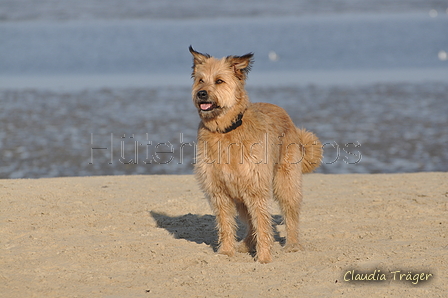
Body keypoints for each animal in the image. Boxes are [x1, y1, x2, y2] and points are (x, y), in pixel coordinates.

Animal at [189, 46, 322, 264]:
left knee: (290, 214)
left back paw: (293, 245)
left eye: (219, 81)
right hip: (241, 198)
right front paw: (226, 252)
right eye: (201, 80)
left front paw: (264, 258)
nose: (201, 94)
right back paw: (244, 245)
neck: (226, 130)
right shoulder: (219, 192)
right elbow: (226, 224)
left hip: (286, 183)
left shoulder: (256, 189)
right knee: (250, 223)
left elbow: (263, 224)